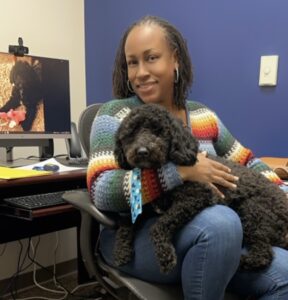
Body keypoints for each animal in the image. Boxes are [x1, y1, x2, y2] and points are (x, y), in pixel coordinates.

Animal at [112, 103, 288, 274]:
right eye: (131, 134)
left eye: (159, 131)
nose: (142, 151)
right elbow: (126, 223)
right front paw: (121, 250)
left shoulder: (196, 197)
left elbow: (160, 224)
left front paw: (165, 255)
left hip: (253, 211)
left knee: (264, 252)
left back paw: (243, 261)